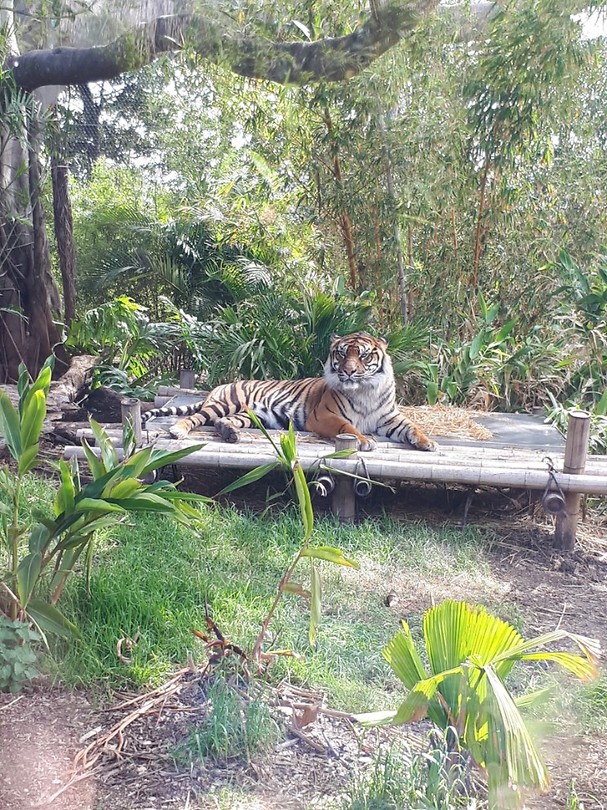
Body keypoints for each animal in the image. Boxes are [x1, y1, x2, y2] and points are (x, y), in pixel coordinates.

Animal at [141, 332, 438, 453]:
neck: (366, 391)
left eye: (363, 356)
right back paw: (177, 430)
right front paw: (364, 441)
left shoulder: (389, 418)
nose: (349, 371)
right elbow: (348, 427)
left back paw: (231, 434)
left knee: (220, 422)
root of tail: (221, 385)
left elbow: (412, 427)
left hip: (250, 415)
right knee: (196, 418)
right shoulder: (324, 416)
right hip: (226, 404)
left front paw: (427, 442)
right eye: (342, 354)